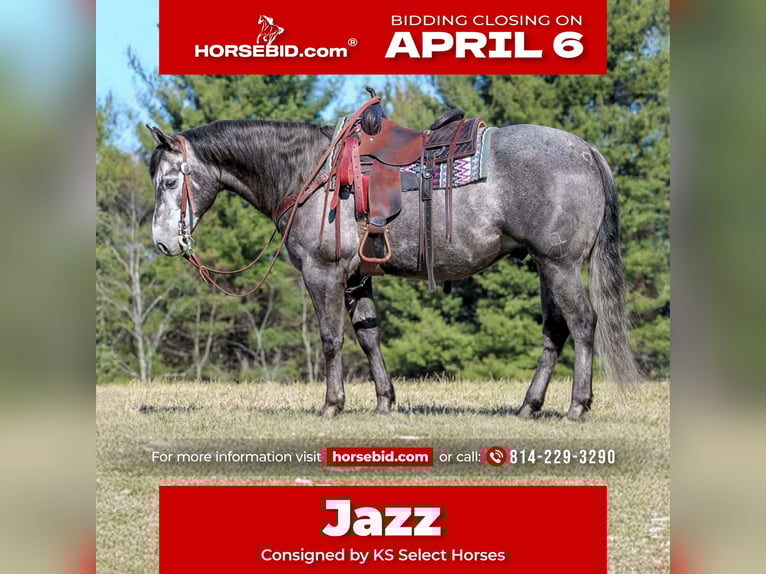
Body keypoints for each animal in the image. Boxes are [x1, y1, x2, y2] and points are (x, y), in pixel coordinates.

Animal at [146, 97, 640, 421]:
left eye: (169, 181)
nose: (164, 242)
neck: (310, 172)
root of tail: (587, 150)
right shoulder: (356, 277)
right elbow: (368, 335)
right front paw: (385, 400)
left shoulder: (322, 273)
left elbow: (331, 339)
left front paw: (332, 405)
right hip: (545, 265)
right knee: (555, 330)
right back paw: (528, 406)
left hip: (560, 264)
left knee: (582, 324)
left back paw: (576, 406)